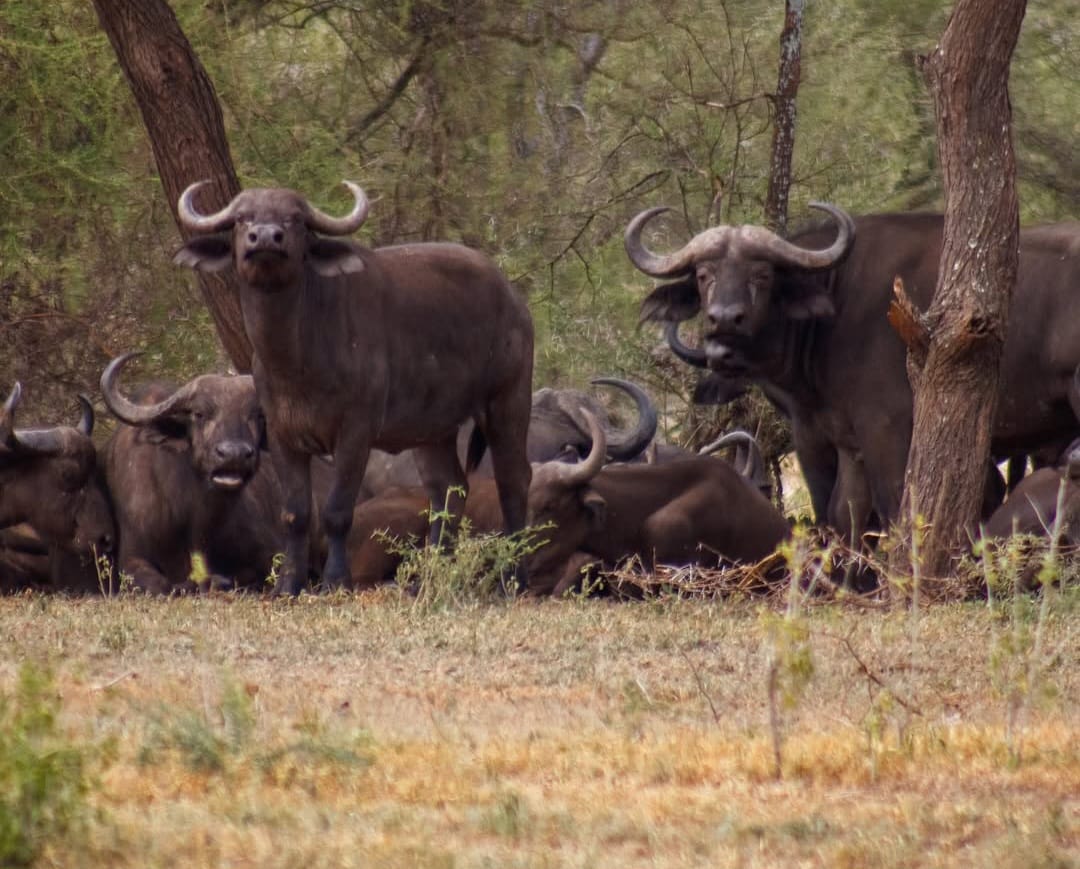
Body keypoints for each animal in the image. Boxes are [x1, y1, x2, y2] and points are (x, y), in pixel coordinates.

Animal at [175, 181, 534, 594]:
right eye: (241, 219)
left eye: (295, 220)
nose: (265, 237)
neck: (297, 359)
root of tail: (513, 301)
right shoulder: (281, 434)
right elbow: (295, 512)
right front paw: (289, 584)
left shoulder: (355, 431)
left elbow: (336, 510)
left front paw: (335, 580)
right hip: (432, 430)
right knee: (448, 488)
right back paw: (429, 579)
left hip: (508, 399)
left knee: (513, 479)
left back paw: (513, 578)